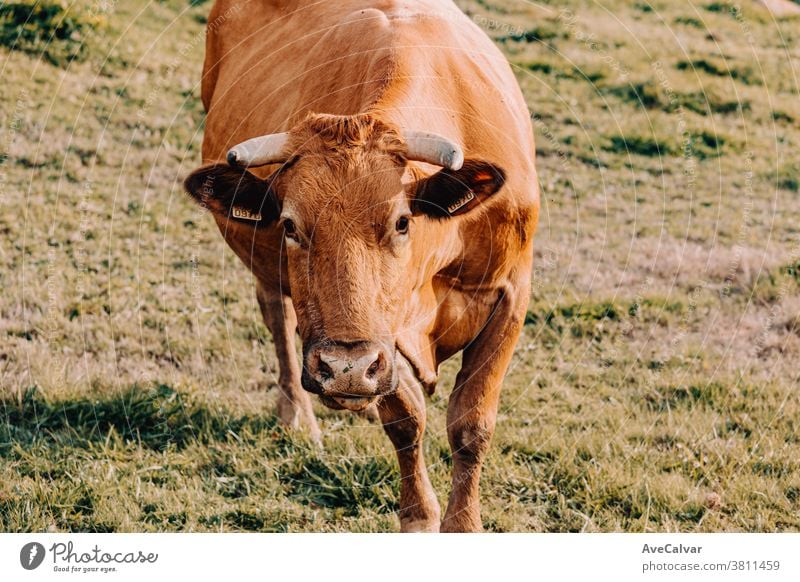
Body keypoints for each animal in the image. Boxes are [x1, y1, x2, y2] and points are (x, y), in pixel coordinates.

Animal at [184, 0, 540, 532]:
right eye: (290, 225)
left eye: (401, 221)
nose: (344, 368)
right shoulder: (382, 339)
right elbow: (406, 419)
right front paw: (419, 514)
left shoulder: (510, 295)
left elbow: (471, 424)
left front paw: (463, 523)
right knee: (278, 318)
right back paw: (299, 413)